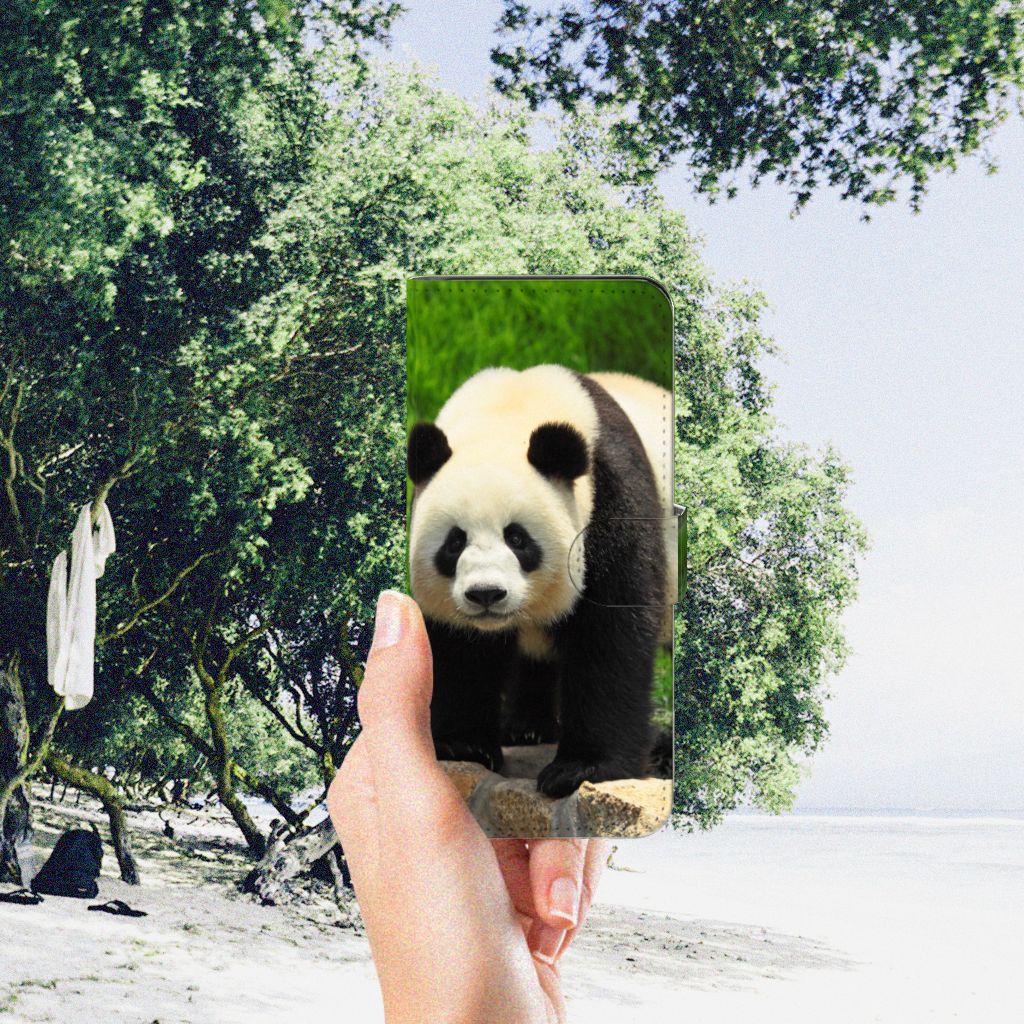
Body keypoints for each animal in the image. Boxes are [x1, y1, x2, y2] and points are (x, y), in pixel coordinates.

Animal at [407, 364, 675, 798]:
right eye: (454, 542)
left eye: (517, 539)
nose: (486, 594)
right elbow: (462, 649)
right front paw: (465, 745)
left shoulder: (612, 500)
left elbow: (610, 634)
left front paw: (581, 768)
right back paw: (526, 728)